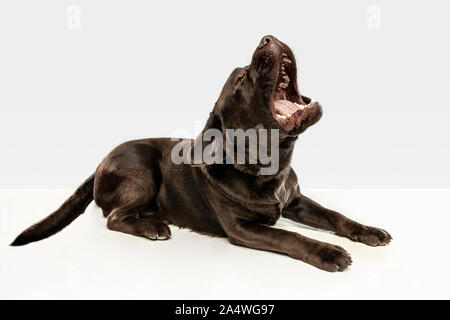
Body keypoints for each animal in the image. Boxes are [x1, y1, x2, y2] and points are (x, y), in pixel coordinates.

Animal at [10, 35, 390, 272]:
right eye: (241, 79)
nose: (267, 37)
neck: (271, 164)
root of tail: (100, 161)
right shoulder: (242, 228)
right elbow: (289, 235)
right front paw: (326, 251)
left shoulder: (295, 200)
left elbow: (335, 216)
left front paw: (367, 230)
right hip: (142, 170)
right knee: (113, 217)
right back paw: (153, 227)